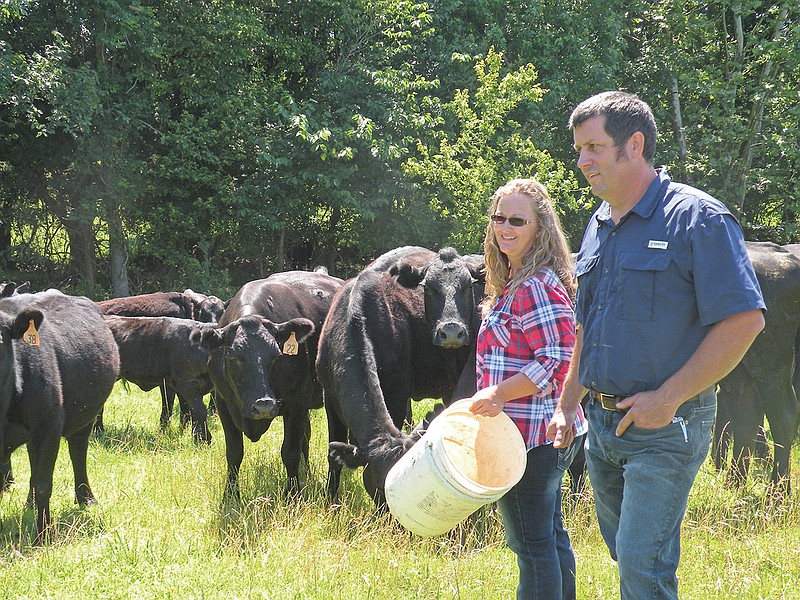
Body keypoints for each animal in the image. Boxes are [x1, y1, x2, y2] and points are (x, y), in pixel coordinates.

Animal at [0, 290, 120, 540]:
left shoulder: (49, 426)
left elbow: (44, 483)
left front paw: (43, 535)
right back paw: (30, 503)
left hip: (84, 418)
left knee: (78, 452)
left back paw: (85, 498)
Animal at [195, 270, 346, 496]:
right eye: (234, 357)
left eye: (276, 355)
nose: (263, 406)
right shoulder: (223, 402)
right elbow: (234, 452)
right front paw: (230, 495)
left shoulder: (297, 402)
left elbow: (290, 451)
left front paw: (292, 494)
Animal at [712, 241, 800, 490]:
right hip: (739, 370)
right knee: (746, 417)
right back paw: (733, 486)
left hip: (771, 367)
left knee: (783, 418)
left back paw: (777, 491)